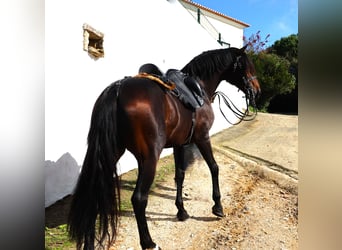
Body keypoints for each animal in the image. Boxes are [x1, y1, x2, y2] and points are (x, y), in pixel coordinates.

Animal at [68, 46, 260, 249]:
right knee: (139, 199)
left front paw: (181, 211)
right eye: (247, 65)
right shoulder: (202, 137)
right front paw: (218, 207)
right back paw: (149, 243)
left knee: (94, 198)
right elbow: (214, 167)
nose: (257, 91)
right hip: (149, 158)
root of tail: (118, 89)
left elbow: (180, 175)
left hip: (111, 154)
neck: (199, 87)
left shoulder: (179, 144)